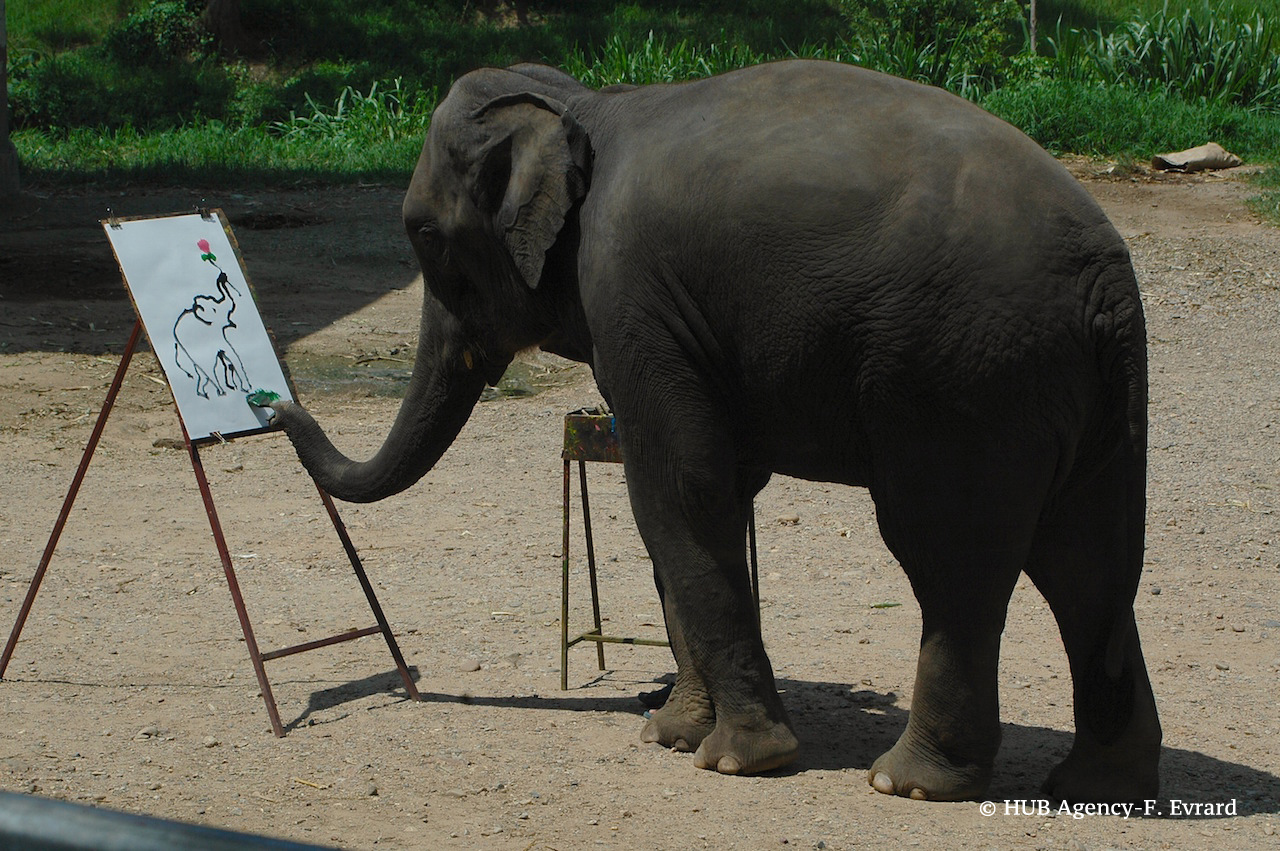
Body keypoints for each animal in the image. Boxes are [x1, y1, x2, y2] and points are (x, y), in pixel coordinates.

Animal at [252, 59, 1162, 803]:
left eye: (424, 236)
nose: (270, 405)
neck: (585, 100)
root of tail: (1104, 277)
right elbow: (700, 494)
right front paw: (671, 733)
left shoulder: (630, 290)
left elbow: (678, 488)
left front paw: (734, 760)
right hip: (1080, 394)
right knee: (1088, 562)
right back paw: (1098, 785)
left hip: (963, 377)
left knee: (952, 559)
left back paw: (907, 782)